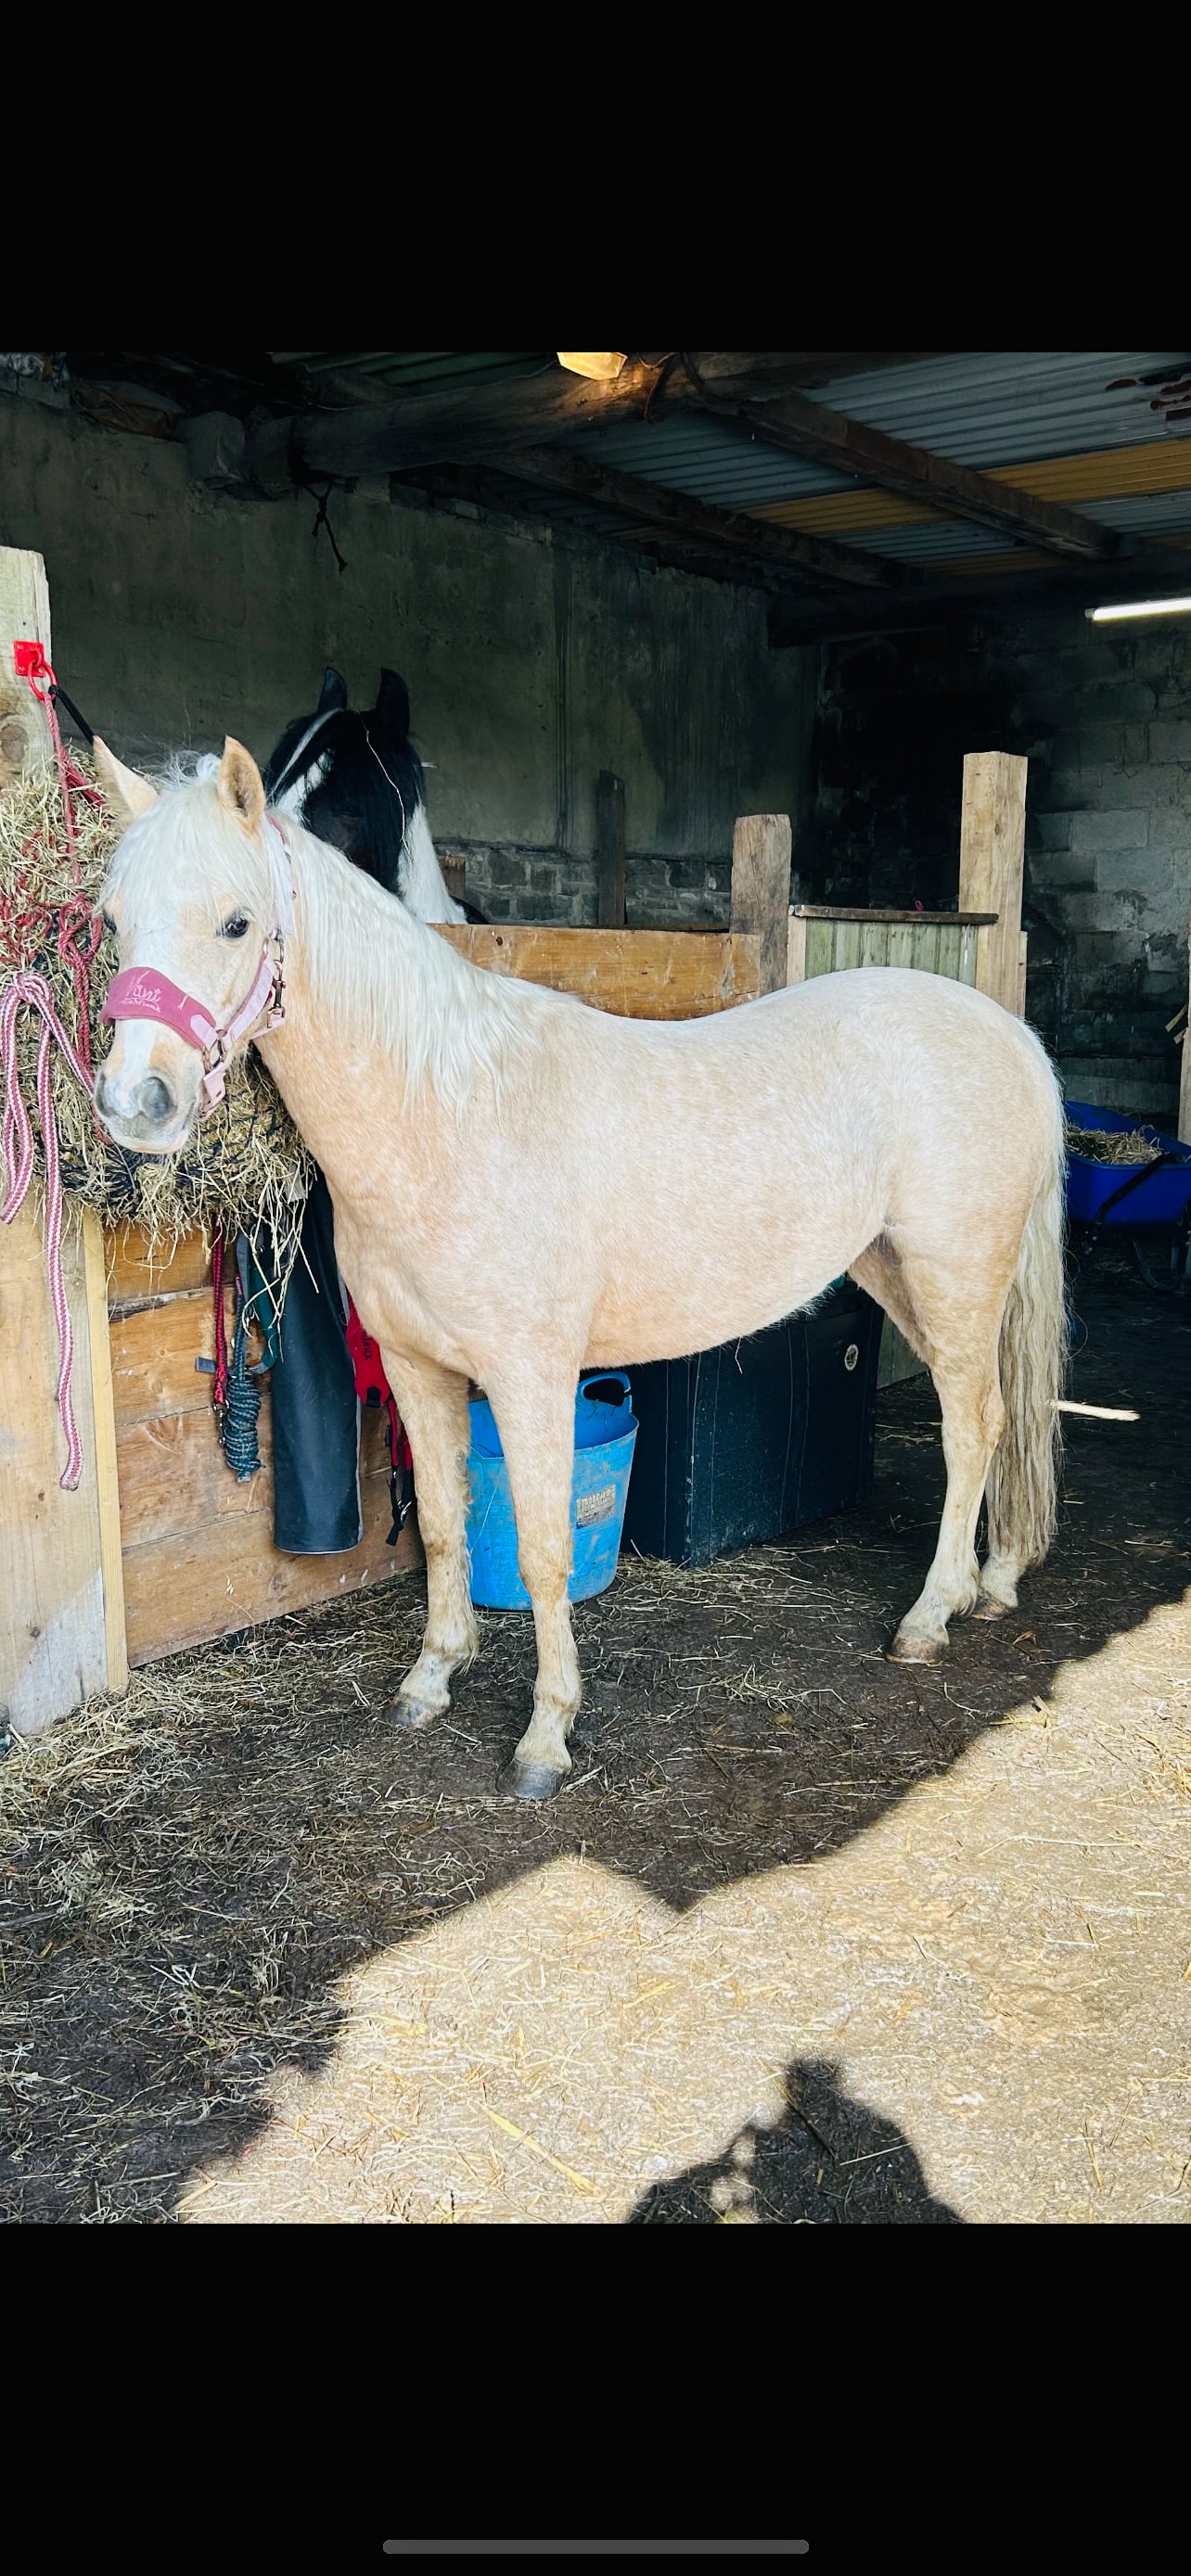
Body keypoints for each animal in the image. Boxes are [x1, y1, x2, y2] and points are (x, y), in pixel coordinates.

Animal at [90, 736, 1068, 1802]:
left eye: (236, 922)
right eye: (111, 919)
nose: (136, 1103)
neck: (448, 1115)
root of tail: (1007, 1032)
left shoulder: (531, 1378)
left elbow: (544, 1547)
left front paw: (545, 1736)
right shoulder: (415, 1368)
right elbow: (445, 1525)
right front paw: (431, 1680)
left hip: (955, 1277)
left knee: (975, 1427)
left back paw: (930, 1617)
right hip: (892, 1269)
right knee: (990, 1424)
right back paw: (989, 1584)